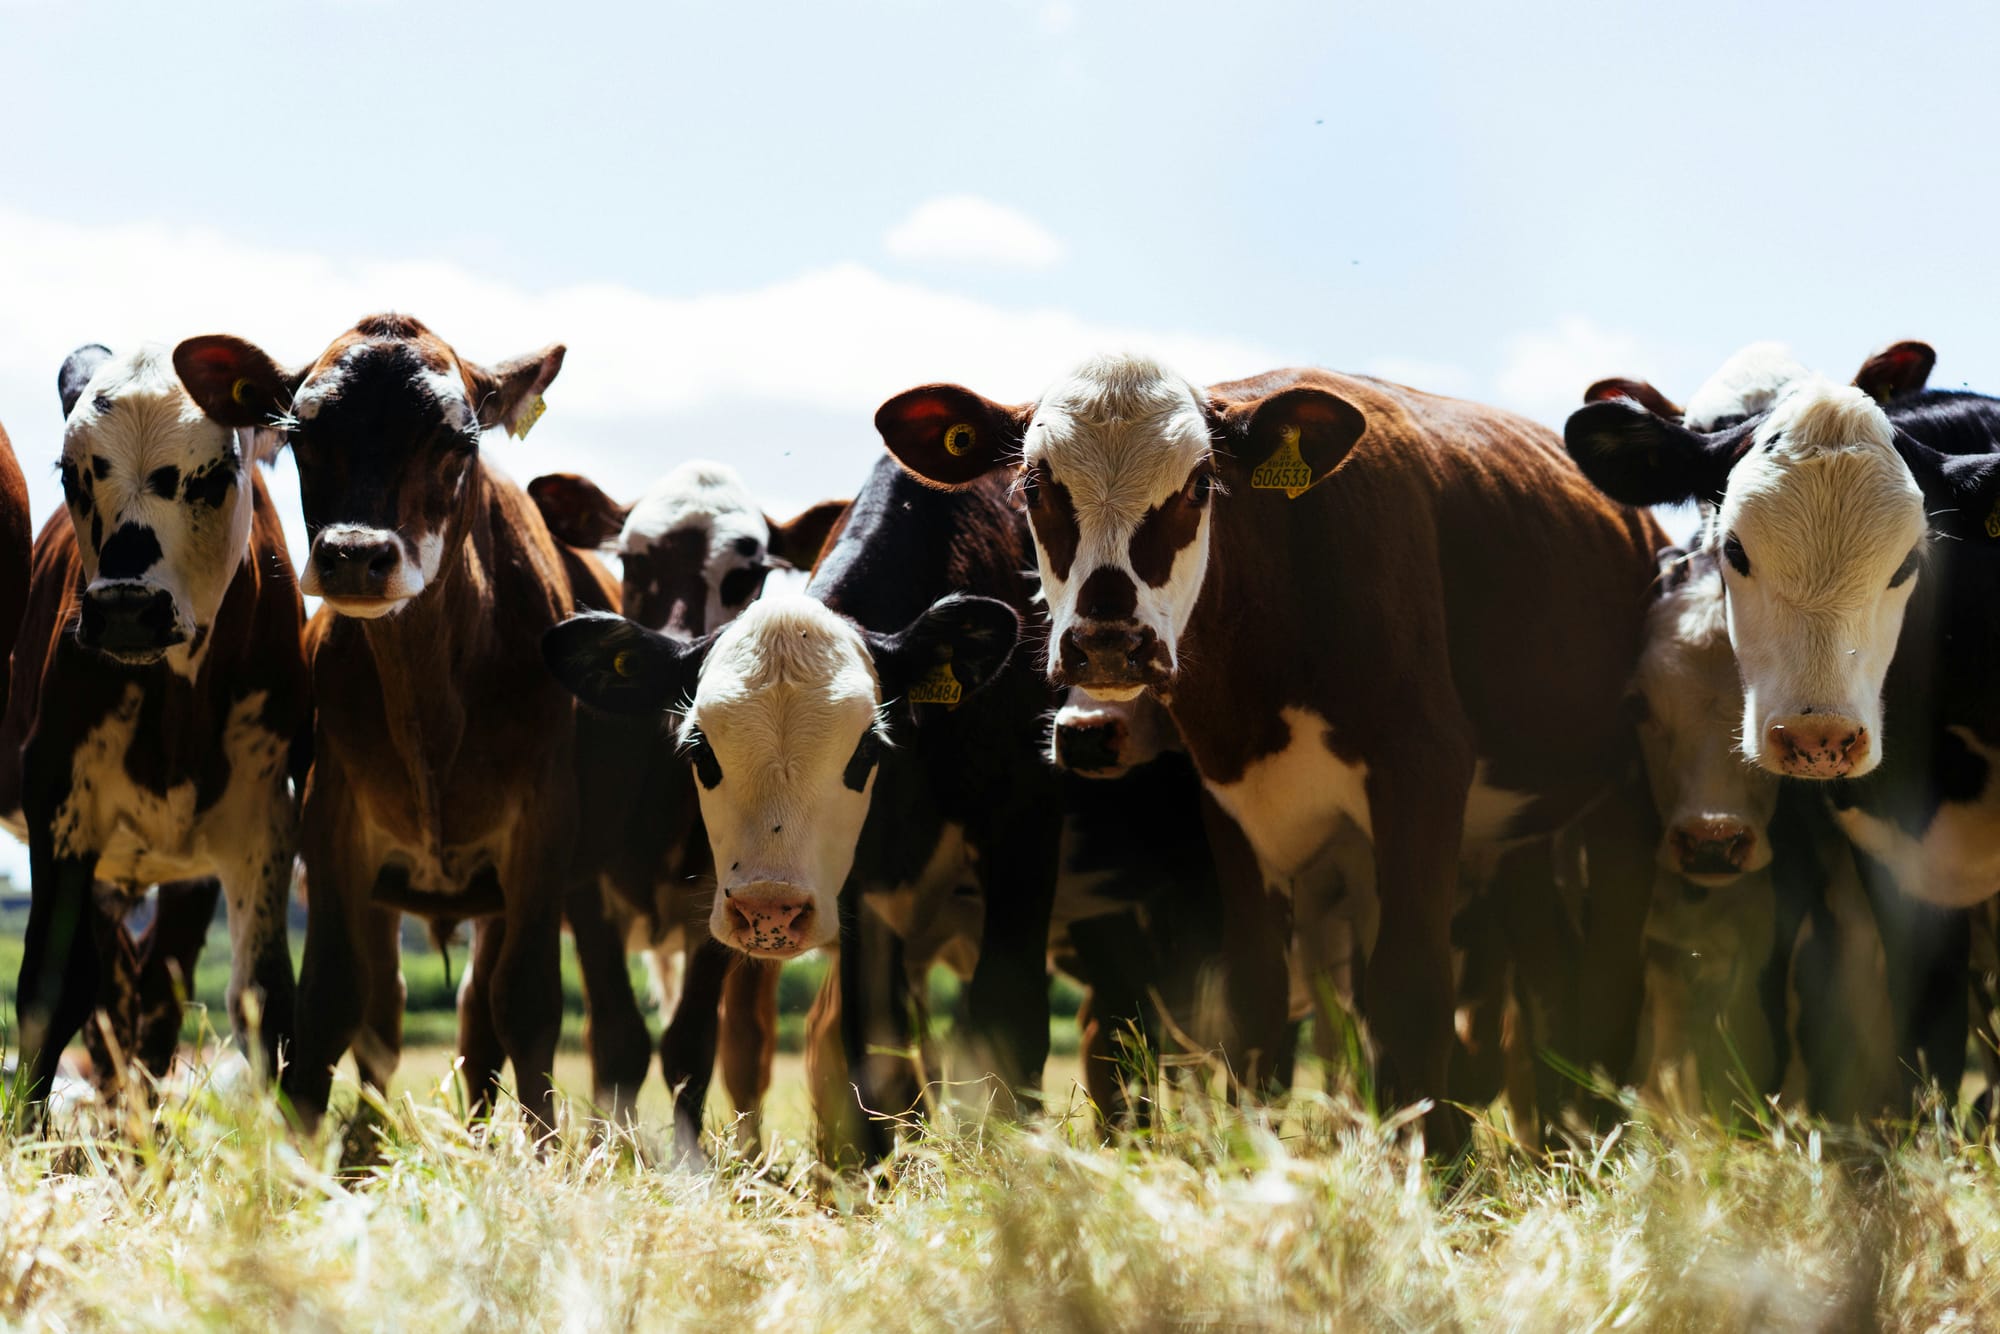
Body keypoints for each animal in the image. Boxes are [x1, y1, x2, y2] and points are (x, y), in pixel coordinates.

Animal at [0, 344, 309, 1103]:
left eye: (218, 474)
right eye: (71, 473)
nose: (126, 609)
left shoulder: (263, 822)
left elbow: (264, 999)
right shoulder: (62, 809)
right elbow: (50, 992)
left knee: (153, 993)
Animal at [171, 314, 687, 1135]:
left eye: (456, 440)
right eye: (303, 433)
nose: (356, 555)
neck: (431, 714)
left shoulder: (540, 834)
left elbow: (528, 1004)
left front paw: (542, 1151)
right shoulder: (333, 831)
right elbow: (332, 1002)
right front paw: (307, 1153)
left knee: (512, 1016)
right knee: (396, 1008)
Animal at [529, 461, 845, 1148]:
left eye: (744, 574)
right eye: (633, 560)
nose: (676, 653)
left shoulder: (725, 902)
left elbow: (691, 1044)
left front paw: (685, 1154)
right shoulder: (585, 889)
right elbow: (617, 1038)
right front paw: (611, 1150)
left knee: (746, 1041)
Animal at [873, 355, 1669, 1146]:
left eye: (1199, 485)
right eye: (1035, 487)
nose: (1108, 642)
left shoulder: (1422, 775)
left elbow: (1410, 994)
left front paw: (1429, 1166)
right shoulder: (1233, 806)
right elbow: (1255, 1006)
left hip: (1623, 804)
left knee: (1610, 983)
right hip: (1520, 843)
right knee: (1551, 975)